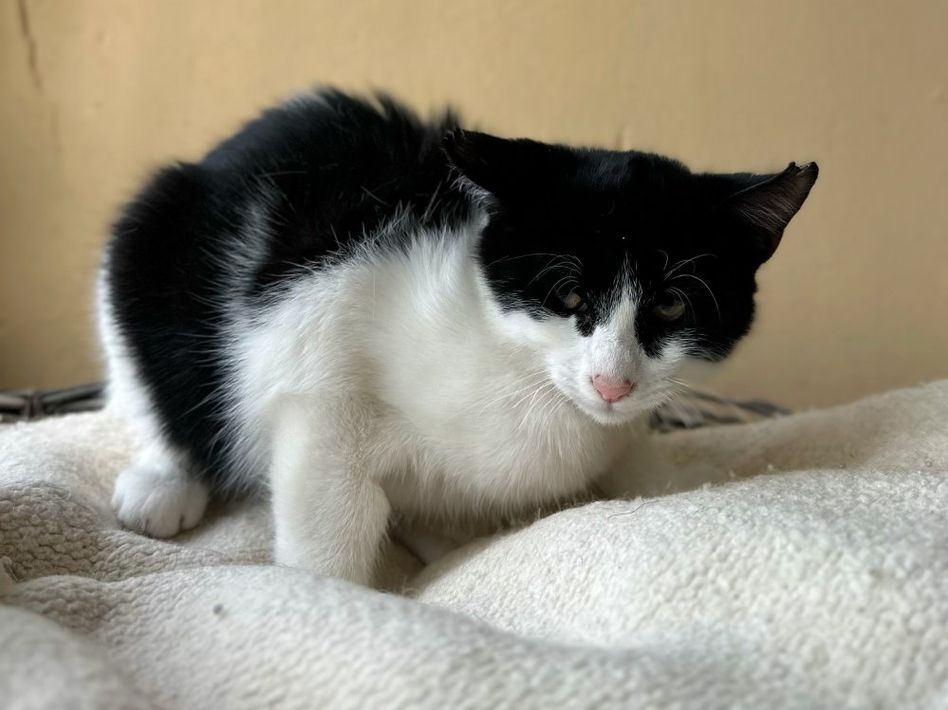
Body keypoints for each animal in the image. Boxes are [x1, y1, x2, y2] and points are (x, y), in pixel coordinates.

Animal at [99, 88, 818, 585]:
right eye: (568, 295)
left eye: (670, 305)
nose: (611, 382)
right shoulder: (318, 354)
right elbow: (326, 514)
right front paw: (330, 605)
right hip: (142, 241)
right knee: (148, 384)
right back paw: (163, 482)